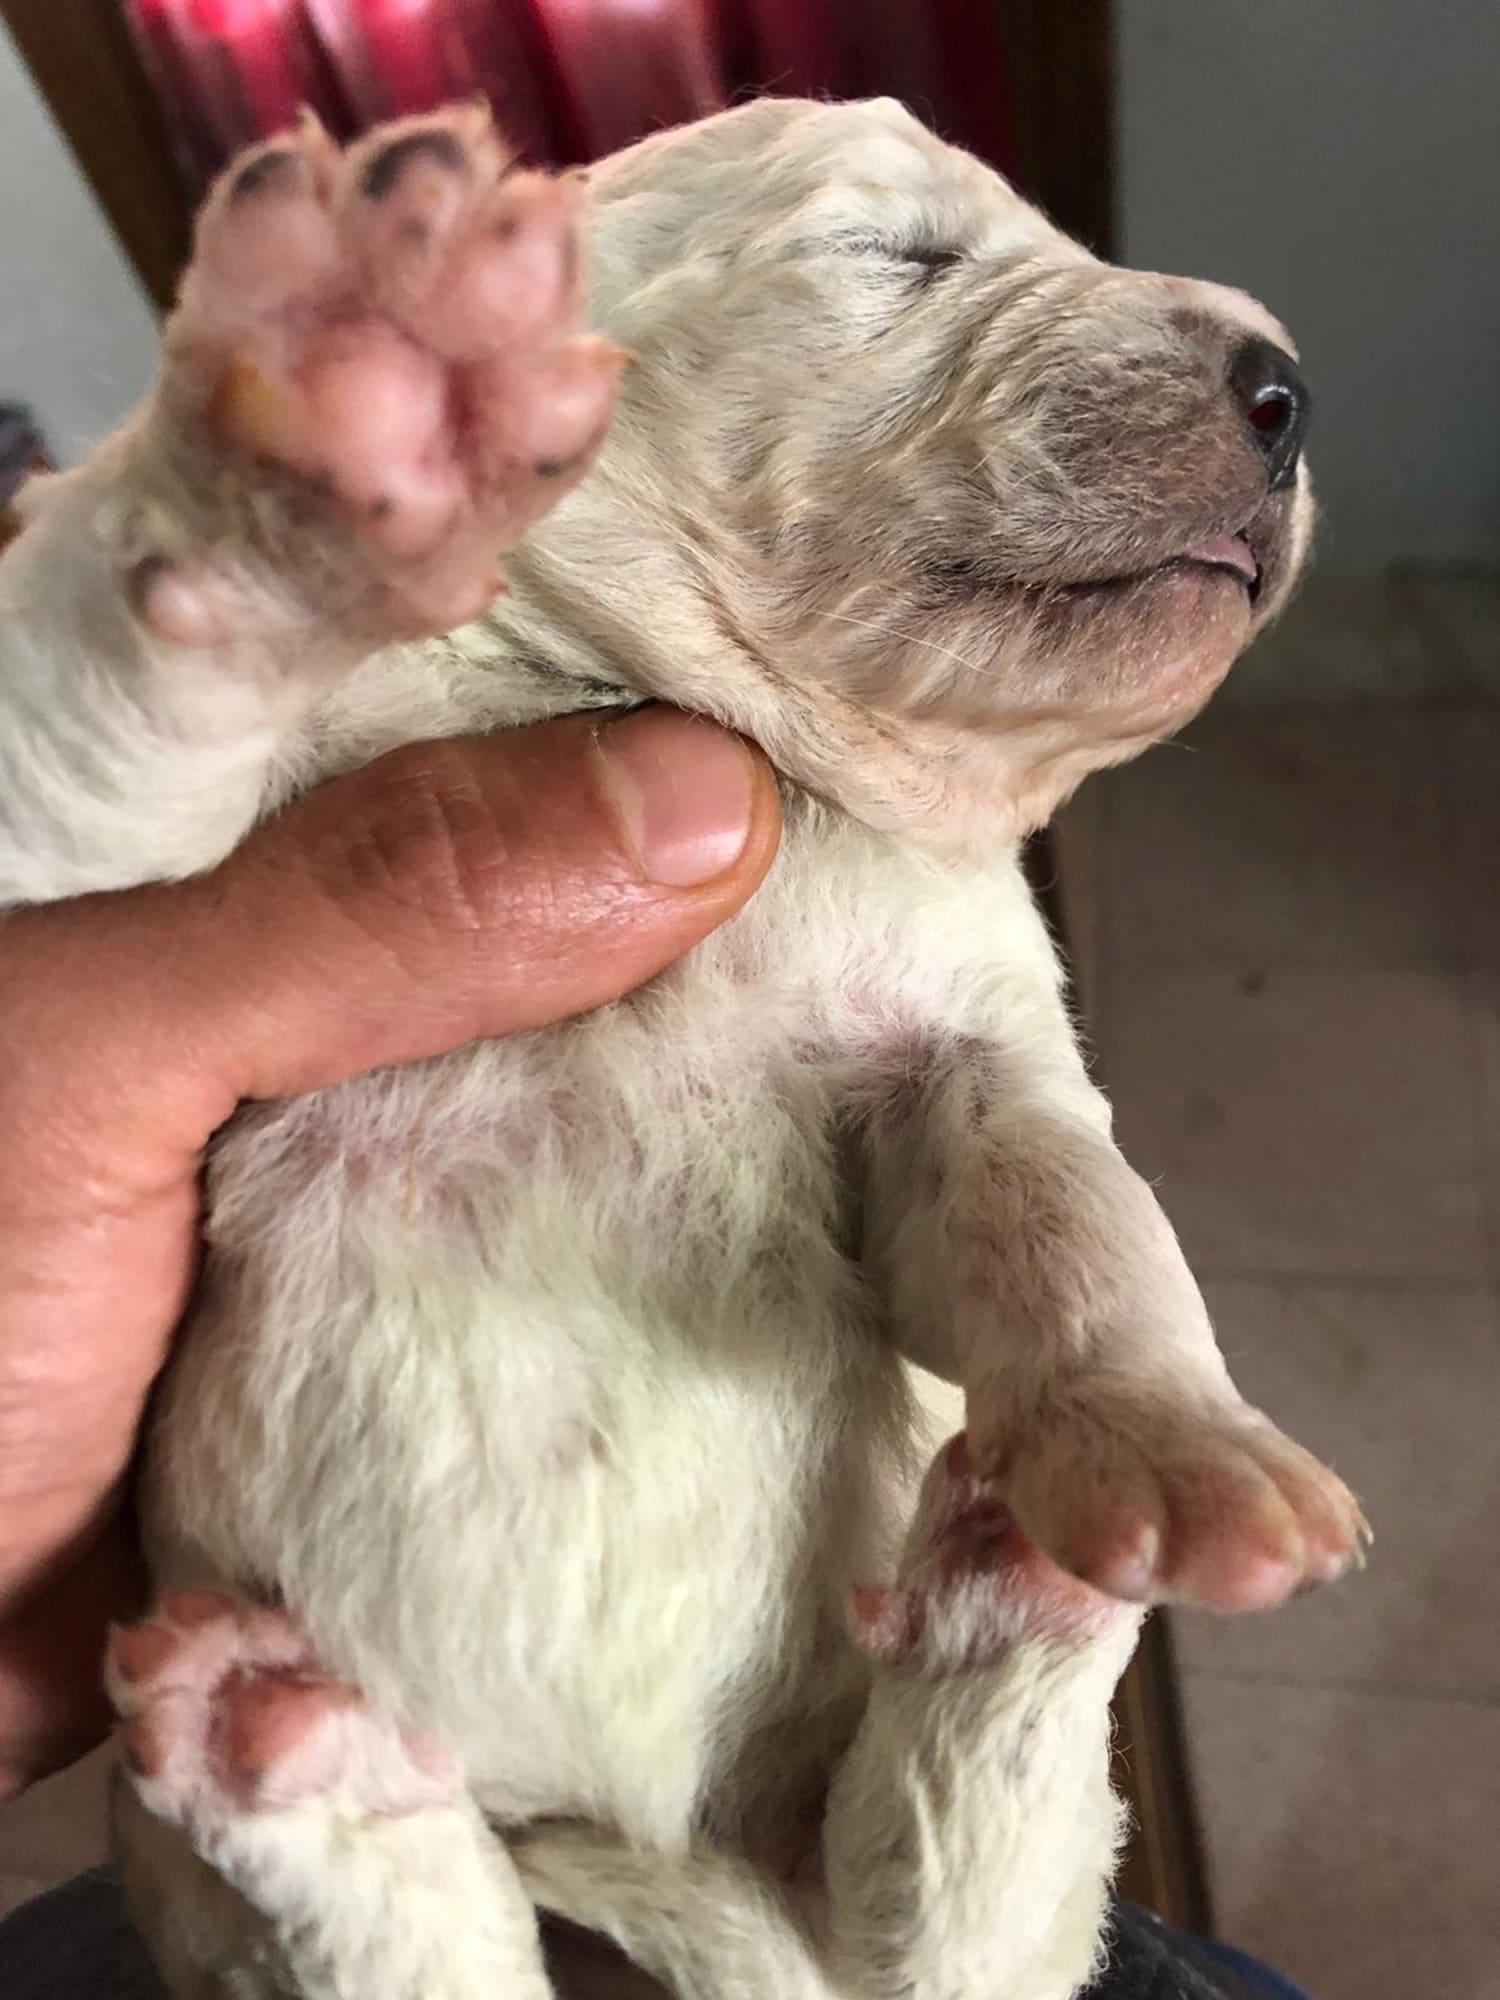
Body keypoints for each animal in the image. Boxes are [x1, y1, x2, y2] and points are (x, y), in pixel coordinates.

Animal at [0, 97, 1360, 2000]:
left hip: (986, 1867)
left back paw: (1018, 1588)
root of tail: (663, 1852)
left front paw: (1182, 1460)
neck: (688, 713)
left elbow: (1071, 1219)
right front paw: (345, 398)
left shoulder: (970, 1046)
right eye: (890, 251)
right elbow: (96, 728)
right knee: (412, 1949)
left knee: (936, 1924)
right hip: (201, 1882)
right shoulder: (115, 862)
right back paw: (283, 1754)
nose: (1284, 384)